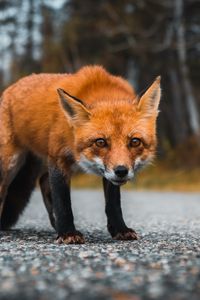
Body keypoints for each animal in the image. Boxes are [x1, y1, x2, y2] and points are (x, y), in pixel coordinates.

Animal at [0, 65, 161, 244]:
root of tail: (11, 87)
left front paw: (120, 229)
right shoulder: (58, 158)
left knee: (43, 181)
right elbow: (63, 201)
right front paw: (67, 232)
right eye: (100, 142)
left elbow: (113, 204)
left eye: (134, 142)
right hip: (10, 165)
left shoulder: (107, 173)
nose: (121, 171)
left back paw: (55, 224)